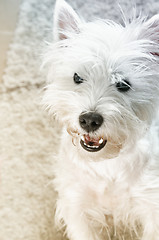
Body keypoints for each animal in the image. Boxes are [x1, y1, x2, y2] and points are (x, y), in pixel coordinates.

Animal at [42, 0, 159, 239]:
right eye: (77, 77)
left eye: (123, 84)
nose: (89, 120)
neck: (107, 164)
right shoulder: (76, 204)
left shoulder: (152, 204)